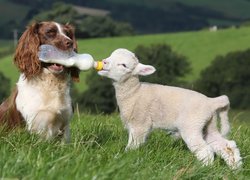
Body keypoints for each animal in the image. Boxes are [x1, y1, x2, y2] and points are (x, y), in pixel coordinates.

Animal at [98, 48, 242, 169]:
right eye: (111, 55)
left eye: (123, 65)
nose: (104, 62)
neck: (134, 93)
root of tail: (211, 102)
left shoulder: (140, 124)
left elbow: (133, 145)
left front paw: (124, 158)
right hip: (208, 125)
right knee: (227, 145)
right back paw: (235, 168)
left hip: (191, 125)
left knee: (205, 150)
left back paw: (203, 169)